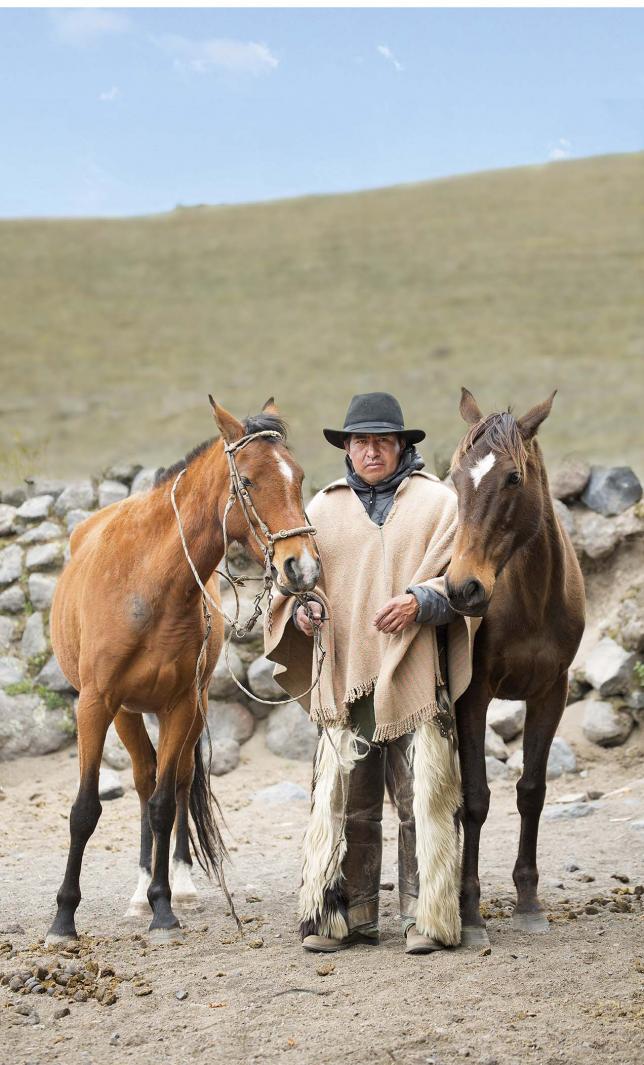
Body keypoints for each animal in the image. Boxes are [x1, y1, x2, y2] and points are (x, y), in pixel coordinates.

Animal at [45, 398, 319, 941]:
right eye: (248, 481)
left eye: (298, 477)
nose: (302, 567)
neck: (150, 583)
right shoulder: (96, 704)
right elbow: (86, 810)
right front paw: (64, 917)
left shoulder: (181, 705)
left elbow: (165, 805)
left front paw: (164, 906)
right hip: (128, 713)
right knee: (143, 776)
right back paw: (136, 891)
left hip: (188, 712)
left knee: (172, 783)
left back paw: (179, 883)